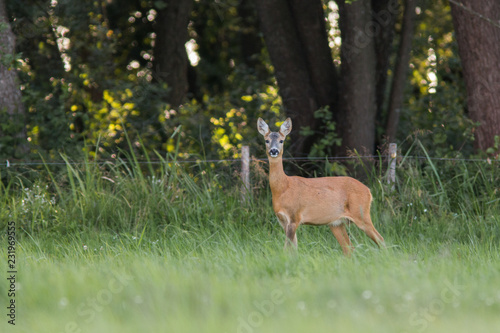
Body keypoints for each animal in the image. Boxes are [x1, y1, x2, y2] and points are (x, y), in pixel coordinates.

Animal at [256, 117, 384, 254]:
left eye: (281, 140)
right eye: (266, 140)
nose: (274, 151)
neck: (283, 188)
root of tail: (368, 191)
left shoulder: (294, 217)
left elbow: (288, 249)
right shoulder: (283, 221)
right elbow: (293, 249)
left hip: (361, 213)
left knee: (380, 240)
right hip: (336, 223)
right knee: (349, 249)